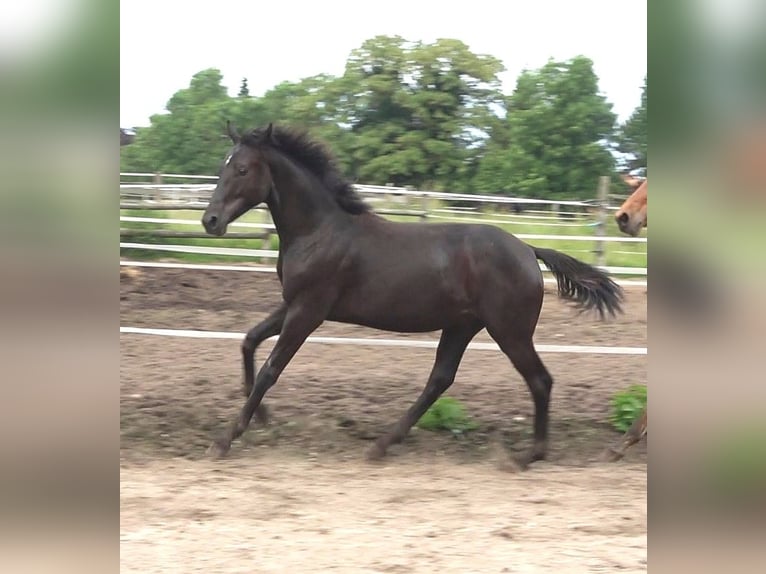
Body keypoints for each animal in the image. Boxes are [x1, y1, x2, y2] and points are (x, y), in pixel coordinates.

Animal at [202, 122, 624, 468]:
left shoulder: (309, 310)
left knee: (539, 380)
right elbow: (249, 341)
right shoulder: (292, 304)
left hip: (510, 331)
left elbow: (272, 368)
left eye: (242, 169)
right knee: (440, 379)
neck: (319, 230)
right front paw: (263, 418)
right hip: (462, 326)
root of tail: (528, 250)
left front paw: (225, 439)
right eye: (223, 166)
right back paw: (382, 445)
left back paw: (527, 456)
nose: (210, 221)